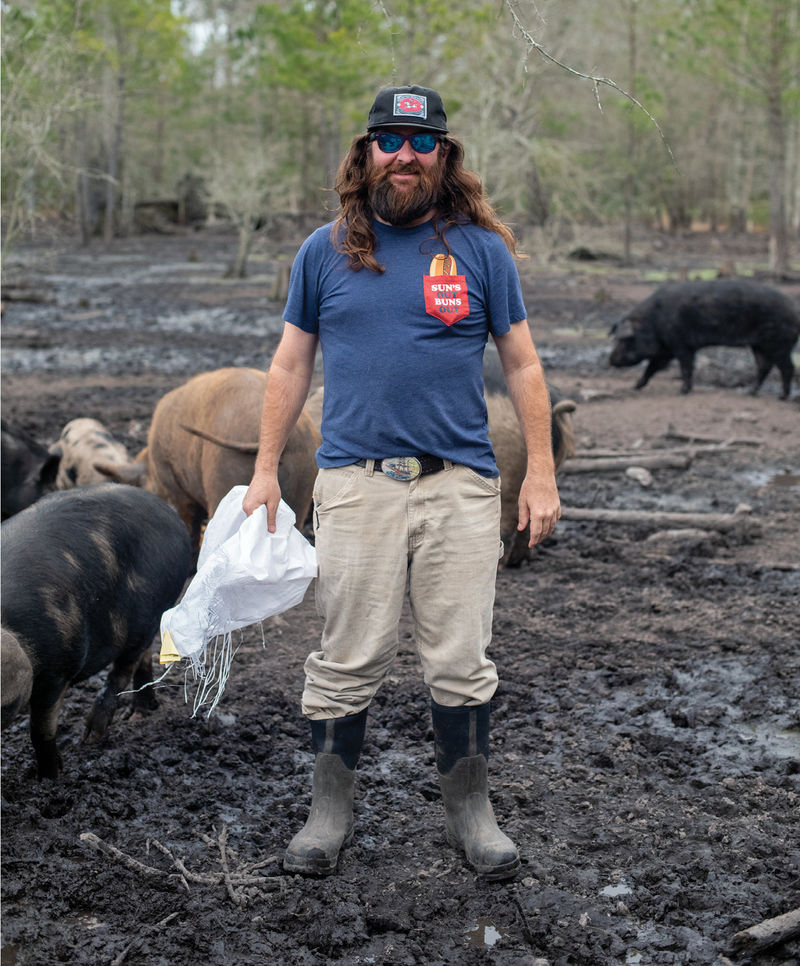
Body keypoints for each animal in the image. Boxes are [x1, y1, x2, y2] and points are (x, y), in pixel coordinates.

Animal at [0, 484, 192, 780]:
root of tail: (169, 513)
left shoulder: (60, 667)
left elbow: (41, 729)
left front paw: (50, 778)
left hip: (151, 610)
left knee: (124, 669)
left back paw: (93, 736)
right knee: (143, 660)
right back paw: (139, 714)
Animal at [94, 366, 318, 556]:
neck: (152, 466)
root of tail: (289, 439)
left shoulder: (176, 488)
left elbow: (189, 521)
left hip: (222, 472)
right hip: (304, 478)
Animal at [608, 278, 796, 398]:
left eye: (624, 340)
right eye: (616, 339)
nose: (610, 360)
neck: (652, 321)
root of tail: (795, 310)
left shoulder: (681, 344)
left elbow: (685, 367)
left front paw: (681, 392)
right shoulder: (667, 349)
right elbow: (653, 367)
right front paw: (635, 386)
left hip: (779, 344)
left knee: (788, 368)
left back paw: (782, 396)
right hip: (759, 345)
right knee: (764, 367)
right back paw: (749, 393)